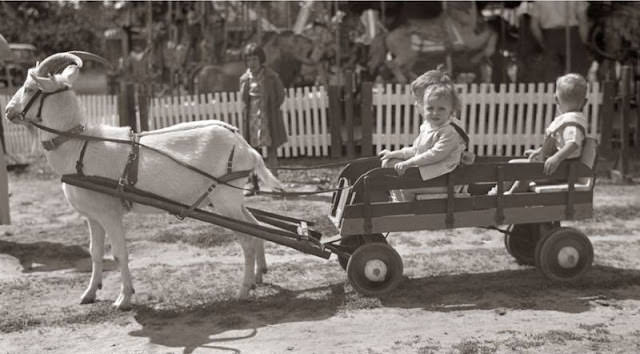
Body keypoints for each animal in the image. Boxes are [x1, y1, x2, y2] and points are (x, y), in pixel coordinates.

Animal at [3, 52, 282, 310]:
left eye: (29, 88)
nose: (8, 111)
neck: (79, 146)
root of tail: (246, 147)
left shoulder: (110, 213)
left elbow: (119, 254)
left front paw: (123, 299)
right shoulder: (93, 216)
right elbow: (95, 253)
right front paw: (89, 294)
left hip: (225, 199)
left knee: (247, 240)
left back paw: (243, 291)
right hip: (229, 199)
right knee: (255, 226)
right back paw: (258, 276)